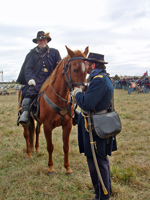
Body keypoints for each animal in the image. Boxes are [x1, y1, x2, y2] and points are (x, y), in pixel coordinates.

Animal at [19, 45, 88, 173]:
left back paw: (37, 149)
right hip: (25, 119)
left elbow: (66, 147)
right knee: (26, 134)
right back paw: (29, 154)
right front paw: (50, 168)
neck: (59, 98)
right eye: (74, 69)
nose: (80, 93)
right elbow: (50, 146)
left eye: (87, 70)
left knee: (36, 131)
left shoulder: (67, 125)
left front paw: (67, 168)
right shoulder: (48, 126)